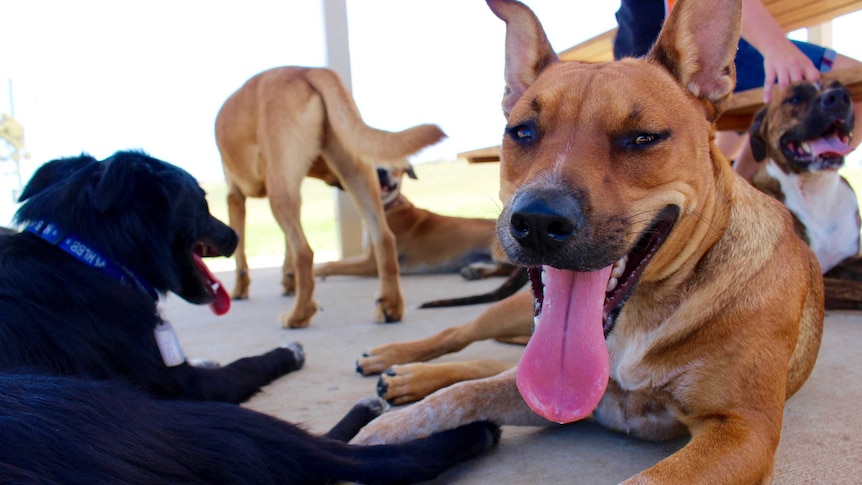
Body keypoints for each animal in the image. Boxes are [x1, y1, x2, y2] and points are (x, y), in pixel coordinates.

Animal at [0, 150, 500, 480]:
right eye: (201, 201)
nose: (234, 236)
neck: (84, 255)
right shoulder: (187, 387)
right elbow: (243, 363)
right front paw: (286, 349)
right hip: (177, 417)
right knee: (348, 459)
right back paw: (469, 431)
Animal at [214, 66, 446, 328]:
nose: (383, 175)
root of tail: (307, 71)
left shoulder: (235, 197)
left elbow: (241, 253)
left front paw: (239, 290)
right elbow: (286, 250)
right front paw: (288, 282)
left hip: (280, 193)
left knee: (304, 252)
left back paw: (298, 315)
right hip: (355, 173)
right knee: (384, 238)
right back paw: (390, 306)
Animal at [354, 1, 828, 482]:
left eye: (643, 138)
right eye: (522, 132)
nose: (538, 221)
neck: (641, 312)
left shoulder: (743, 429)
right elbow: (461, 395)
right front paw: (382, 432)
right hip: (509, 312)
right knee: (460, 336)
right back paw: (398, 363)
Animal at [748, 79, 862, 306]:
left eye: (840, 87)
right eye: (795, 98)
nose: (839, 97)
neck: (817, 191)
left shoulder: (844, 262)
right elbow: (855, 289)